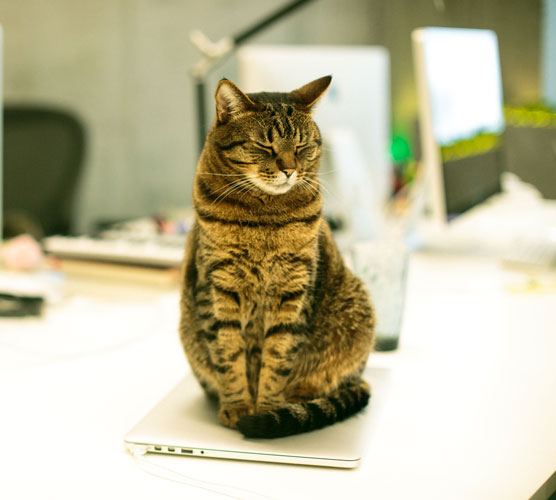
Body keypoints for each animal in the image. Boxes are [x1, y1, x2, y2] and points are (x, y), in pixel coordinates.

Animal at [180, 75, 376, 438]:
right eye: (265, 146)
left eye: (300, 147)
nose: (289, 170)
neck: (265, 216)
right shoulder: (217, 288)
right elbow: (229, 356)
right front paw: (238, 406)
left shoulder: (294, 290)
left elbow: (278, 358)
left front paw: (267, 409)